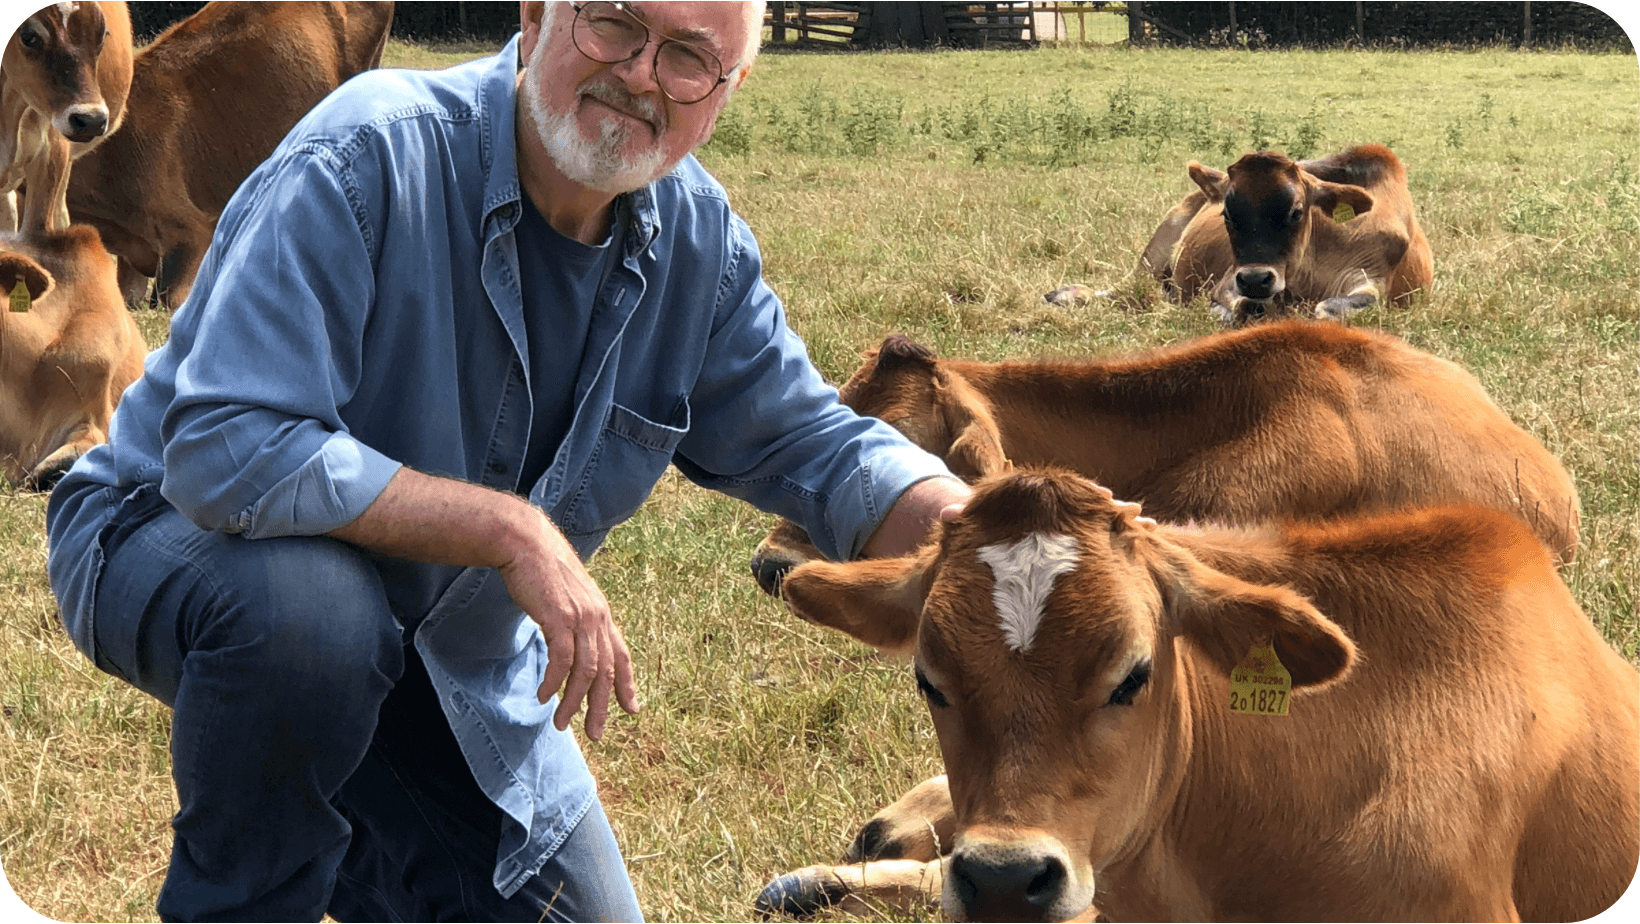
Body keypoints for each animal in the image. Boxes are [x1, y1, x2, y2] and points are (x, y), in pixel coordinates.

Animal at [1148, 142, 1430, 326]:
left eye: (1296, 212)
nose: (1255, 280)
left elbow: (1329, 309)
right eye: (1227, 214)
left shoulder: (1371, 276)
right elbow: (1239, 306)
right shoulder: (1229, 283)